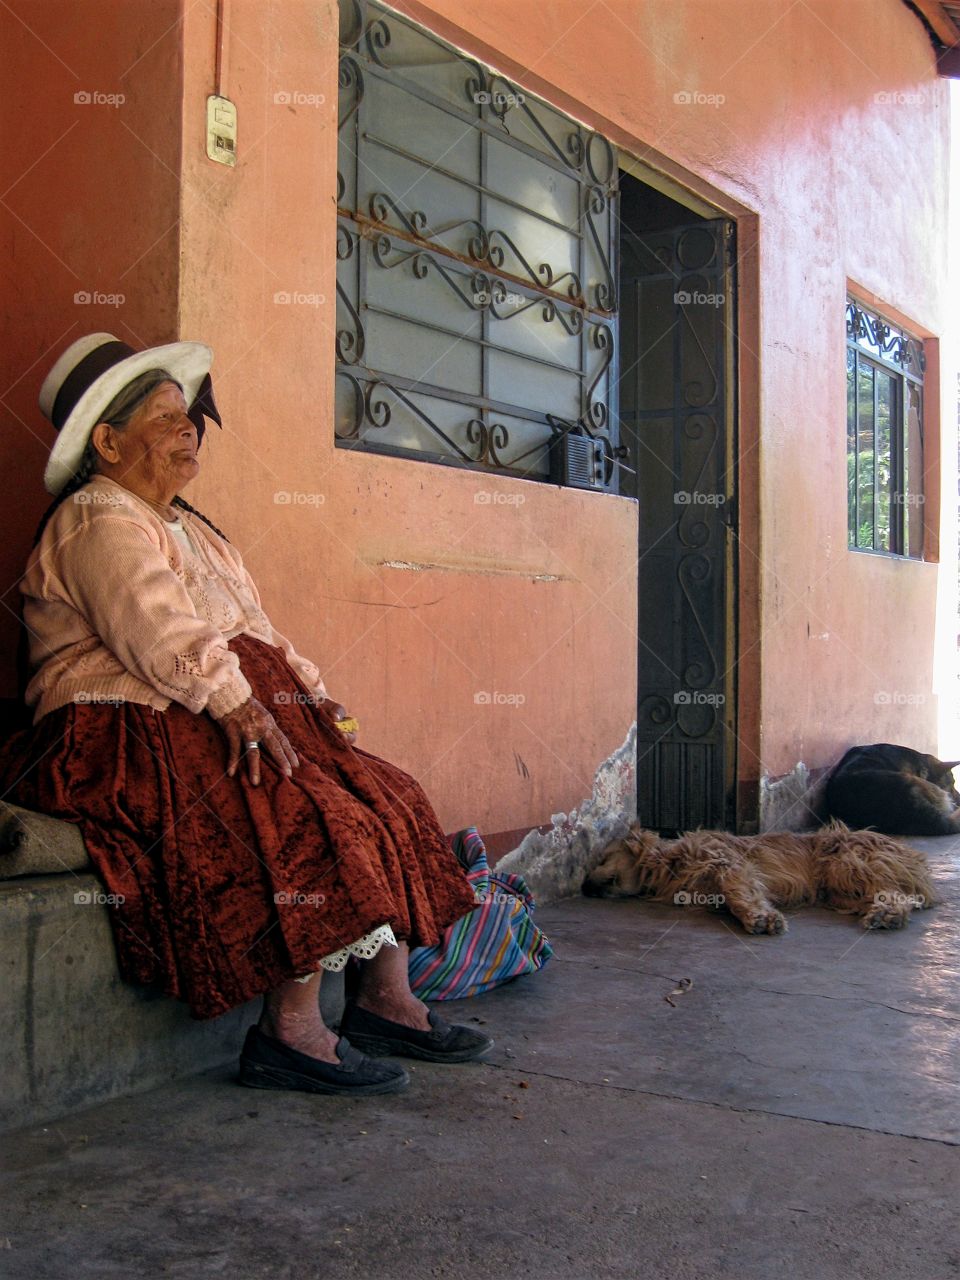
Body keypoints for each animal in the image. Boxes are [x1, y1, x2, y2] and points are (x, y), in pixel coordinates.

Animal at [583, 824, 936, 936]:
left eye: (601, 859)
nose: (584, 887)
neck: (668, 862)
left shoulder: (728, 863)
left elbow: (740, 893)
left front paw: (761, 918)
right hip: (841, 890)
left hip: (849, 864)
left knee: (897, 895)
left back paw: (887, 913)